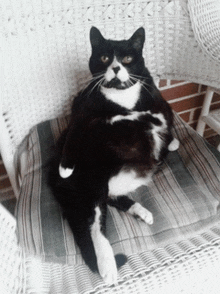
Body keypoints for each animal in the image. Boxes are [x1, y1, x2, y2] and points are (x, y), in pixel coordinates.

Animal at [50, 27, 180, 284]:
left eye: (127, 58)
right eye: (104, 58)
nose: (117, 68)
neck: (122, 98)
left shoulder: (156, 104)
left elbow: (165, 116)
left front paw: (172, 142)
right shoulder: (82, 109)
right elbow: (73, 133)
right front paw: (66, 166)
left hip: (104, 185)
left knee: (111, 199)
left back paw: (141, 212)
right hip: (95, 178)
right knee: (95, 224)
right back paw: (107, 264)